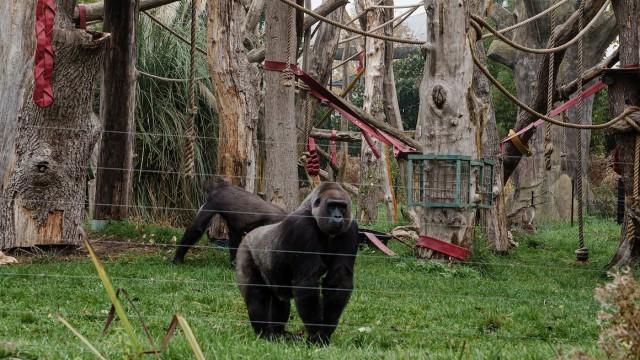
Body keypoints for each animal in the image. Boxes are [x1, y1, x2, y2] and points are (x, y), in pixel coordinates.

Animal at [234, 184, 358, 344]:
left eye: (342, 207)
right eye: (331, 206)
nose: (338, 217)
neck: (312, 213)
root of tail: (248, 235)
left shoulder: (350, 227)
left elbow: (339, 279)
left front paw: (325, 332)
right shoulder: (302, 227)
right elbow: (307, 281)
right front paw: (315, 335)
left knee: (280, 300)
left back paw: (278, 333)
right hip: (245, 251)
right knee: (255, 296)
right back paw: (264, 334)